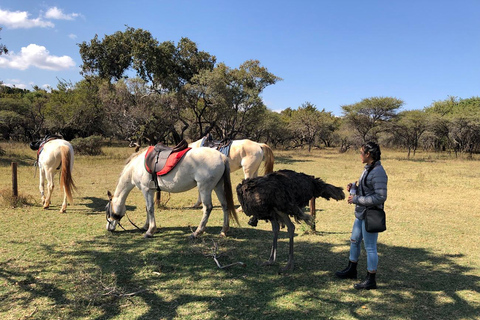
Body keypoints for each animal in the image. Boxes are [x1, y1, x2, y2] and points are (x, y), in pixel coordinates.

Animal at [106, 147, 238, 238]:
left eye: (107, 209)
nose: (108, 228)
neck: (136, 167)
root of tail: (221, 156)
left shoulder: (146, 190)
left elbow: (150, 209)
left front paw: (150, 231)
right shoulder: (150, 191)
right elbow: (148, 208)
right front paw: (145, 226)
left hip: (205, 188)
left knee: (208, 208)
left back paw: (197, 232)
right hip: (218, 186)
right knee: (225, 205)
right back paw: (223, 230)